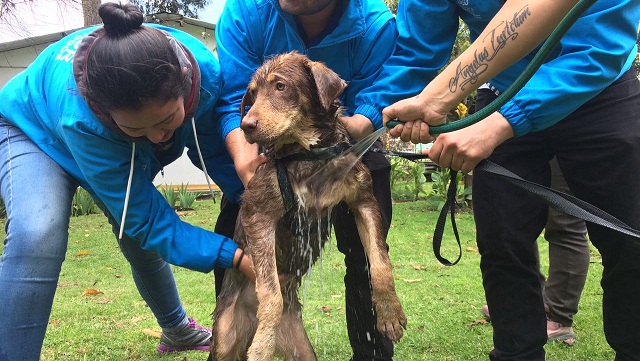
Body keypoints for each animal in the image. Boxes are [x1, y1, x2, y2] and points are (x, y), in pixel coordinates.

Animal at [208, 51, 404, 360]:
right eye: (252, 94)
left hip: (300, 347)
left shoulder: (363, 200)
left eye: (280, 86)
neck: (308, 153)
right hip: (225, 338)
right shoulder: (258, 213)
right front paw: (263, 345)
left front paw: (389, 312)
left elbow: (379, 261)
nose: (246, 126)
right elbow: (271, 293)